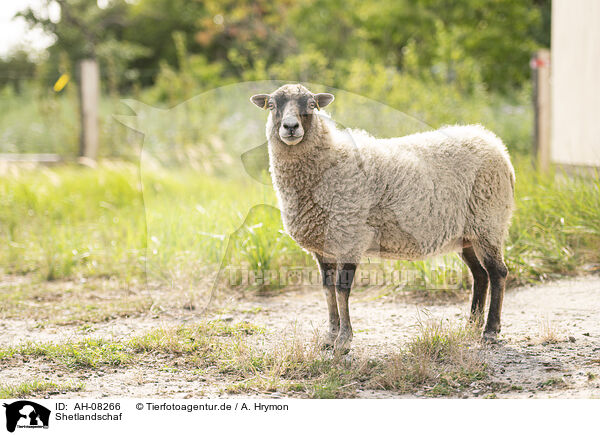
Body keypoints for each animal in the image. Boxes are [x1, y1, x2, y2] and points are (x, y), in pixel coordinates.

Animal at [250, 83, 516, 352]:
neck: (329, 159)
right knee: (479, 275)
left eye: (312, 105)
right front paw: (330, 336)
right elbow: (327, 290)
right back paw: (472, 324)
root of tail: (495, 144)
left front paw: (344, 340)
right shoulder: (323, 247)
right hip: (467, 233)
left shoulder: (349, 236)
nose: (290, 127)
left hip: (488, 223)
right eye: (272, 106)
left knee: (497, 272)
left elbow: (342, 290)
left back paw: (490, 330)